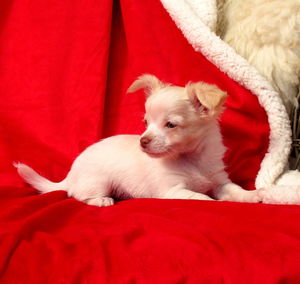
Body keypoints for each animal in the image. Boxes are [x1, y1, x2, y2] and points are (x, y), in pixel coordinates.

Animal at [14, 74, 260, 205]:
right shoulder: (172, 191)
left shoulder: (219, 182)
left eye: (171, 125)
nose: (143, 140)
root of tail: (70, 176)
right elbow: (200, 197)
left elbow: (235, 190)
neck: (192, 159)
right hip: (98, 181)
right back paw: (101, 200)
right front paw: (212, 202)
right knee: (78, 195)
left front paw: (253, 195)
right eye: (145, 122)